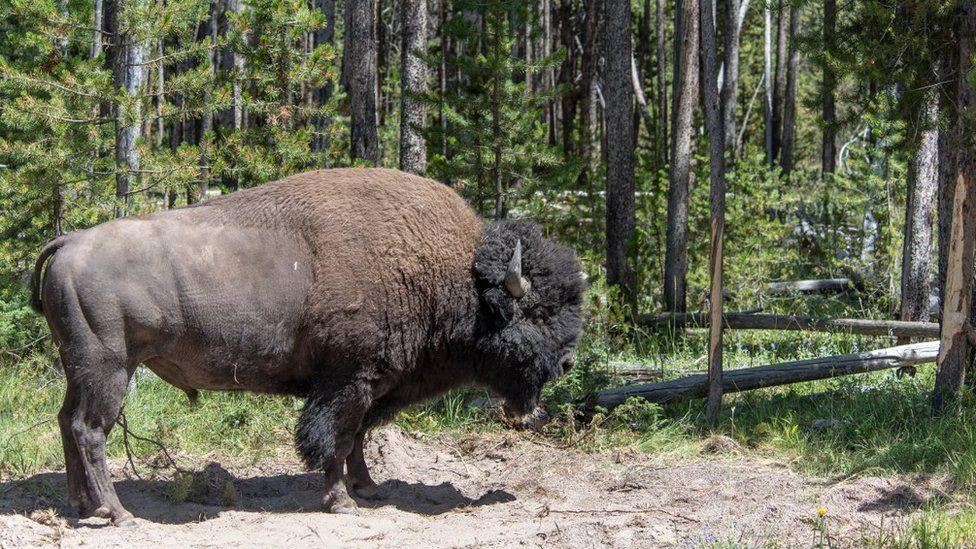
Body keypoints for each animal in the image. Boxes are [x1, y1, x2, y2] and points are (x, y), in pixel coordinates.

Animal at [28, 167, 580, 524]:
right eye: (537, 313)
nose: (568, 362)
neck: (453, 274)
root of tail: (68, 242)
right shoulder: (345, 381)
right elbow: (334, 438)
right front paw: (342, 501)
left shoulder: (371, 385)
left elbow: (357, 438)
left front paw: (368, 488)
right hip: (109, 369)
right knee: (90, 430)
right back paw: (118, 514)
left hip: (79, 369)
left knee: (66, 421)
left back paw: (82, 507)